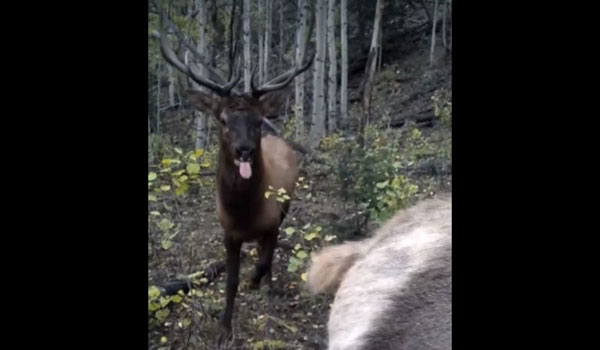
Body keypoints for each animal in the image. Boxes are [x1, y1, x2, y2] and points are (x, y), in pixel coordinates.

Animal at [155, 3, 314, 342]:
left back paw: (266, 286)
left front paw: (257, 284)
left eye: (257, 119)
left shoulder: (273, 223)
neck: (244, 213)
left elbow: (264, 262)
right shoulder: (228, 232)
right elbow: (230, 280)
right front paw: (224, 328)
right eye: (223, 120)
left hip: (287, 205)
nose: (244, 150)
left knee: (268, 256)